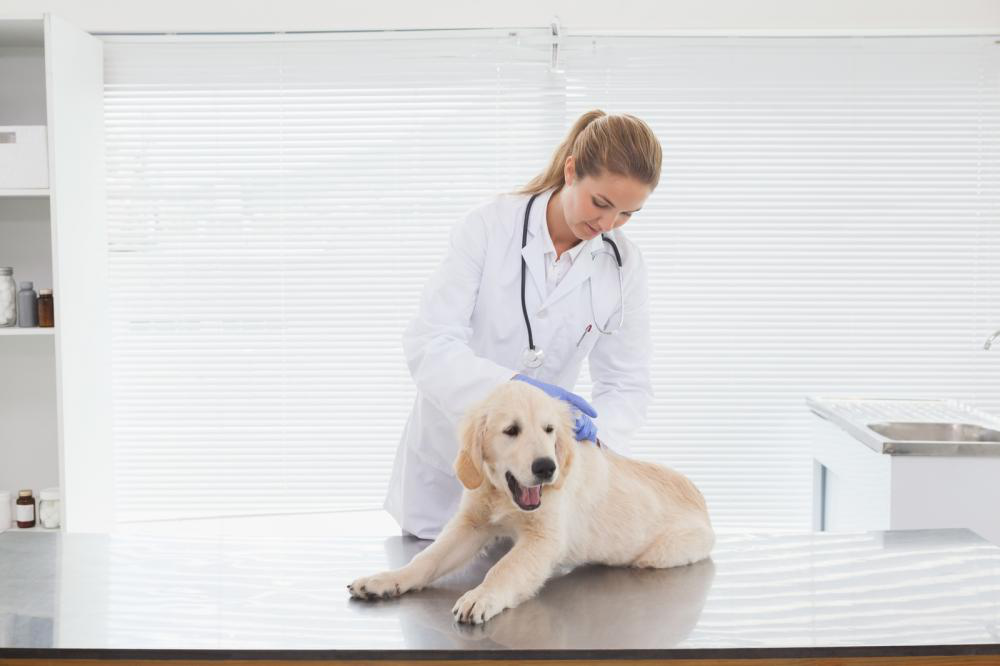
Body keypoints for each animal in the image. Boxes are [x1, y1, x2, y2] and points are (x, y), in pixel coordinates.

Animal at [348, 378, 716, 624]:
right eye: (511, 430)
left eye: (549, 430)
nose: (546, 468)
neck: (504, 497)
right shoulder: (470, 524)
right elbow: (426, 559)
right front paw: (384, 580)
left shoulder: (544, 539)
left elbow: (504, 568)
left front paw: (481, 596)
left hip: (665, 552)